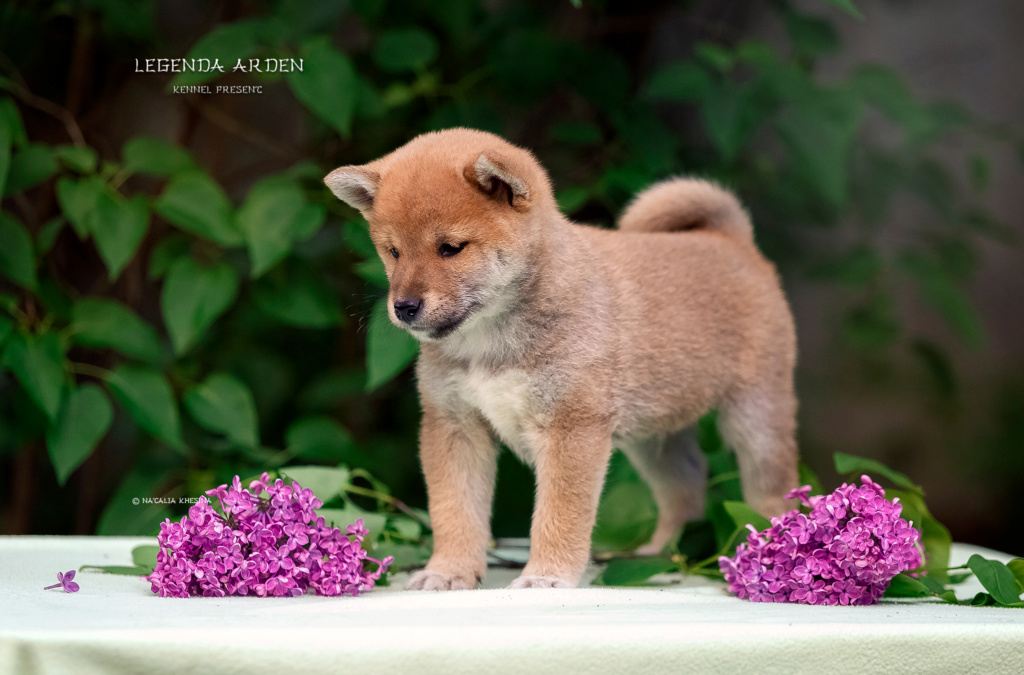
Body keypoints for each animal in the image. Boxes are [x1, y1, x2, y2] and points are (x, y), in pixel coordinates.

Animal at [323, 128, 794, 589]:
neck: (491, 340)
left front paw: (546, 576)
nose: (404, 307)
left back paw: (770, 550)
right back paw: (659, 555)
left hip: (755, 417)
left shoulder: (571, 427)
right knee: (687, 487)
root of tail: (730, 240)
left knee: (772, 489)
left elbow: (559, 514)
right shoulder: (454, 423)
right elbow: (455, 510)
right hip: (654, 436)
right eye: (393, 251)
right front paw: (449, 570)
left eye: (451, 248)